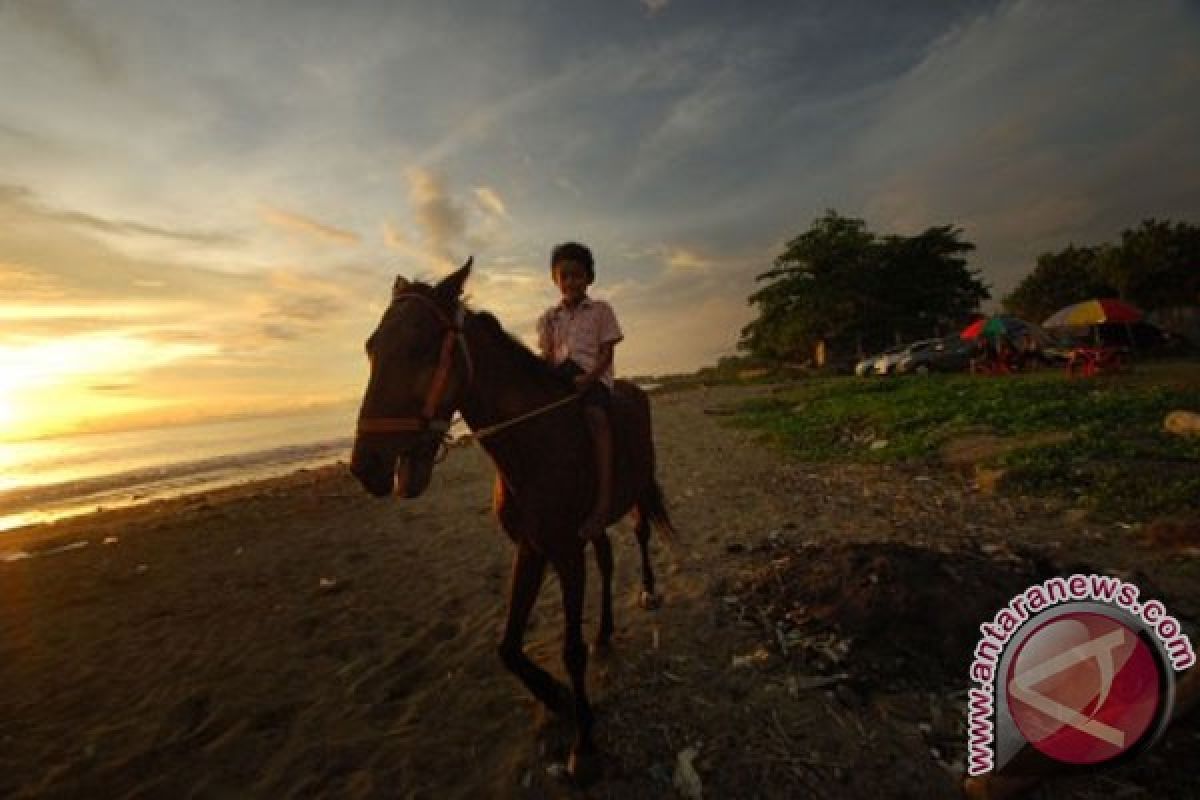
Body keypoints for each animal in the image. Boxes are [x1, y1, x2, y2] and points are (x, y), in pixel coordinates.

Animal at [350, 257, 681, 782]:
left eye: (421, 348)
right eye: (371, 348)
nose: (366, 467)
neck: (535, 445)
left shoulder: (565, 553)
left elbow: (571, 651)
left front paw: (585, 744)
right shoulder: (532, 548)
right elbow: (507, 647)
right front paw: (559, 698)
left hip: (637, 492)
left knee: (642, 533)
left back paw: (648, 591)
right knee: (607, 558)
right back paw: (606, 630)